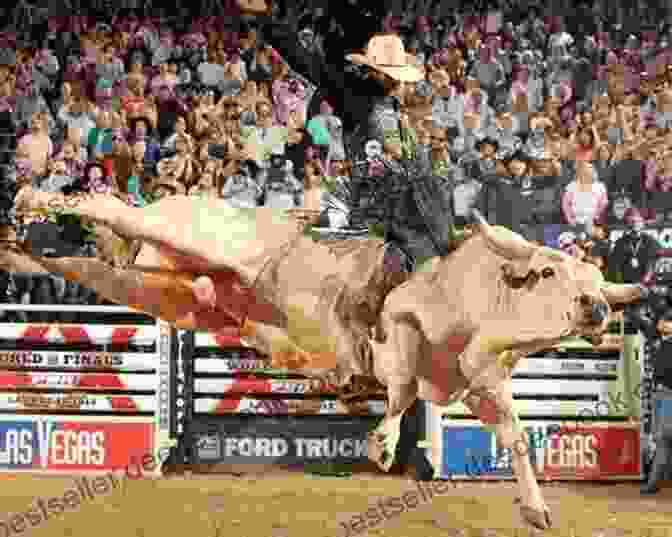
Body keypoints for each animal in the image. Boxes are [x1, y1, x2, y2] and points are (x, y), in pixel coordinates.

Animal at [6, 187, 644, 528]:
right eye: (548, 273)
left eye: (595, 280)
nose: (594, 306)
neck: (478, 299)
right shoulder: (400, 324)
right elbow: (400, 382)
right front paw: (381, 440)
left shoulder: (480, 384)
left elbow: (513, 434)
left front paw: (536, 509)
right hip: (180, 237)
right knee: (110, 206)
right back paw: (35, 202)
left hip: (163, 290)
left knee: (90, 262)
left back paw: (24, 244)